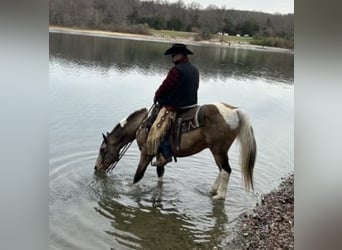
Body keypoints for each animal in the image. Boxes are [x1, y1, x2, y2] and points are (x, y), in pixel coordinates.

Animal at [94, 102, 256, 200]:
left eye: (103, 149)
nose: (96, 167)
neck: (144, 123)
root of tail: (234, 111)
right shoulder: (159, 155)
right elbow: (160, 174)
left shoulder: (146, 153)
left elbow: (137, 176)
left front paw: (130, 191)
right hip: (218, 151)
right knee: (222, 170)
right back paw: (212, 191)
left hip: (218, 150)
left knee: (226, 170)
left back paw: (220, 196)